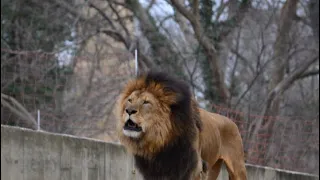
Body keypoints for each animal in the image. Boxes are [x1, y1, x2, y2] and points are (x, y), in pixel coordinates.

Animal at [116, 71, 246, 179]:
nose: (128, 110)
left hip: (238, 168)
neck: (162, 141)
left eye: (146, 102)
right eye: (130, 100)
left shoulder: (194, 169)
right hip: (213, 169)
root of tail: (232, 122)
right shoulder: (156, 171)